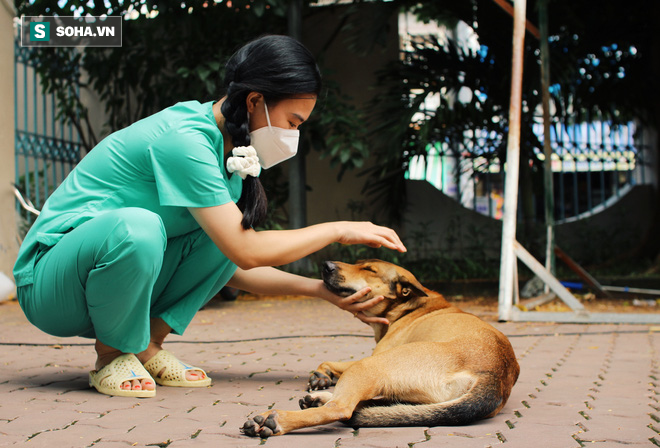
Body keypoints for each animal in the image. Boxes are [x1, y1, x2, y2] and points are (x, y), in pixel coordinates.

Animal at [240, 260, 520, 438]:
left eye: (369, 269)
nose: (326, 265)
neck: (406, 307)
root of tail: (495, 377)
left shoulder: (373, 355)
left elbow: (331, 364)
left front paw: (321, 376)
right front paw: (322, 379)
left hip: (373, 365)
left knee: (342, 409)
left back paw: (277, 420)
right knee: (365, 403)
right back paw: (317, 399)